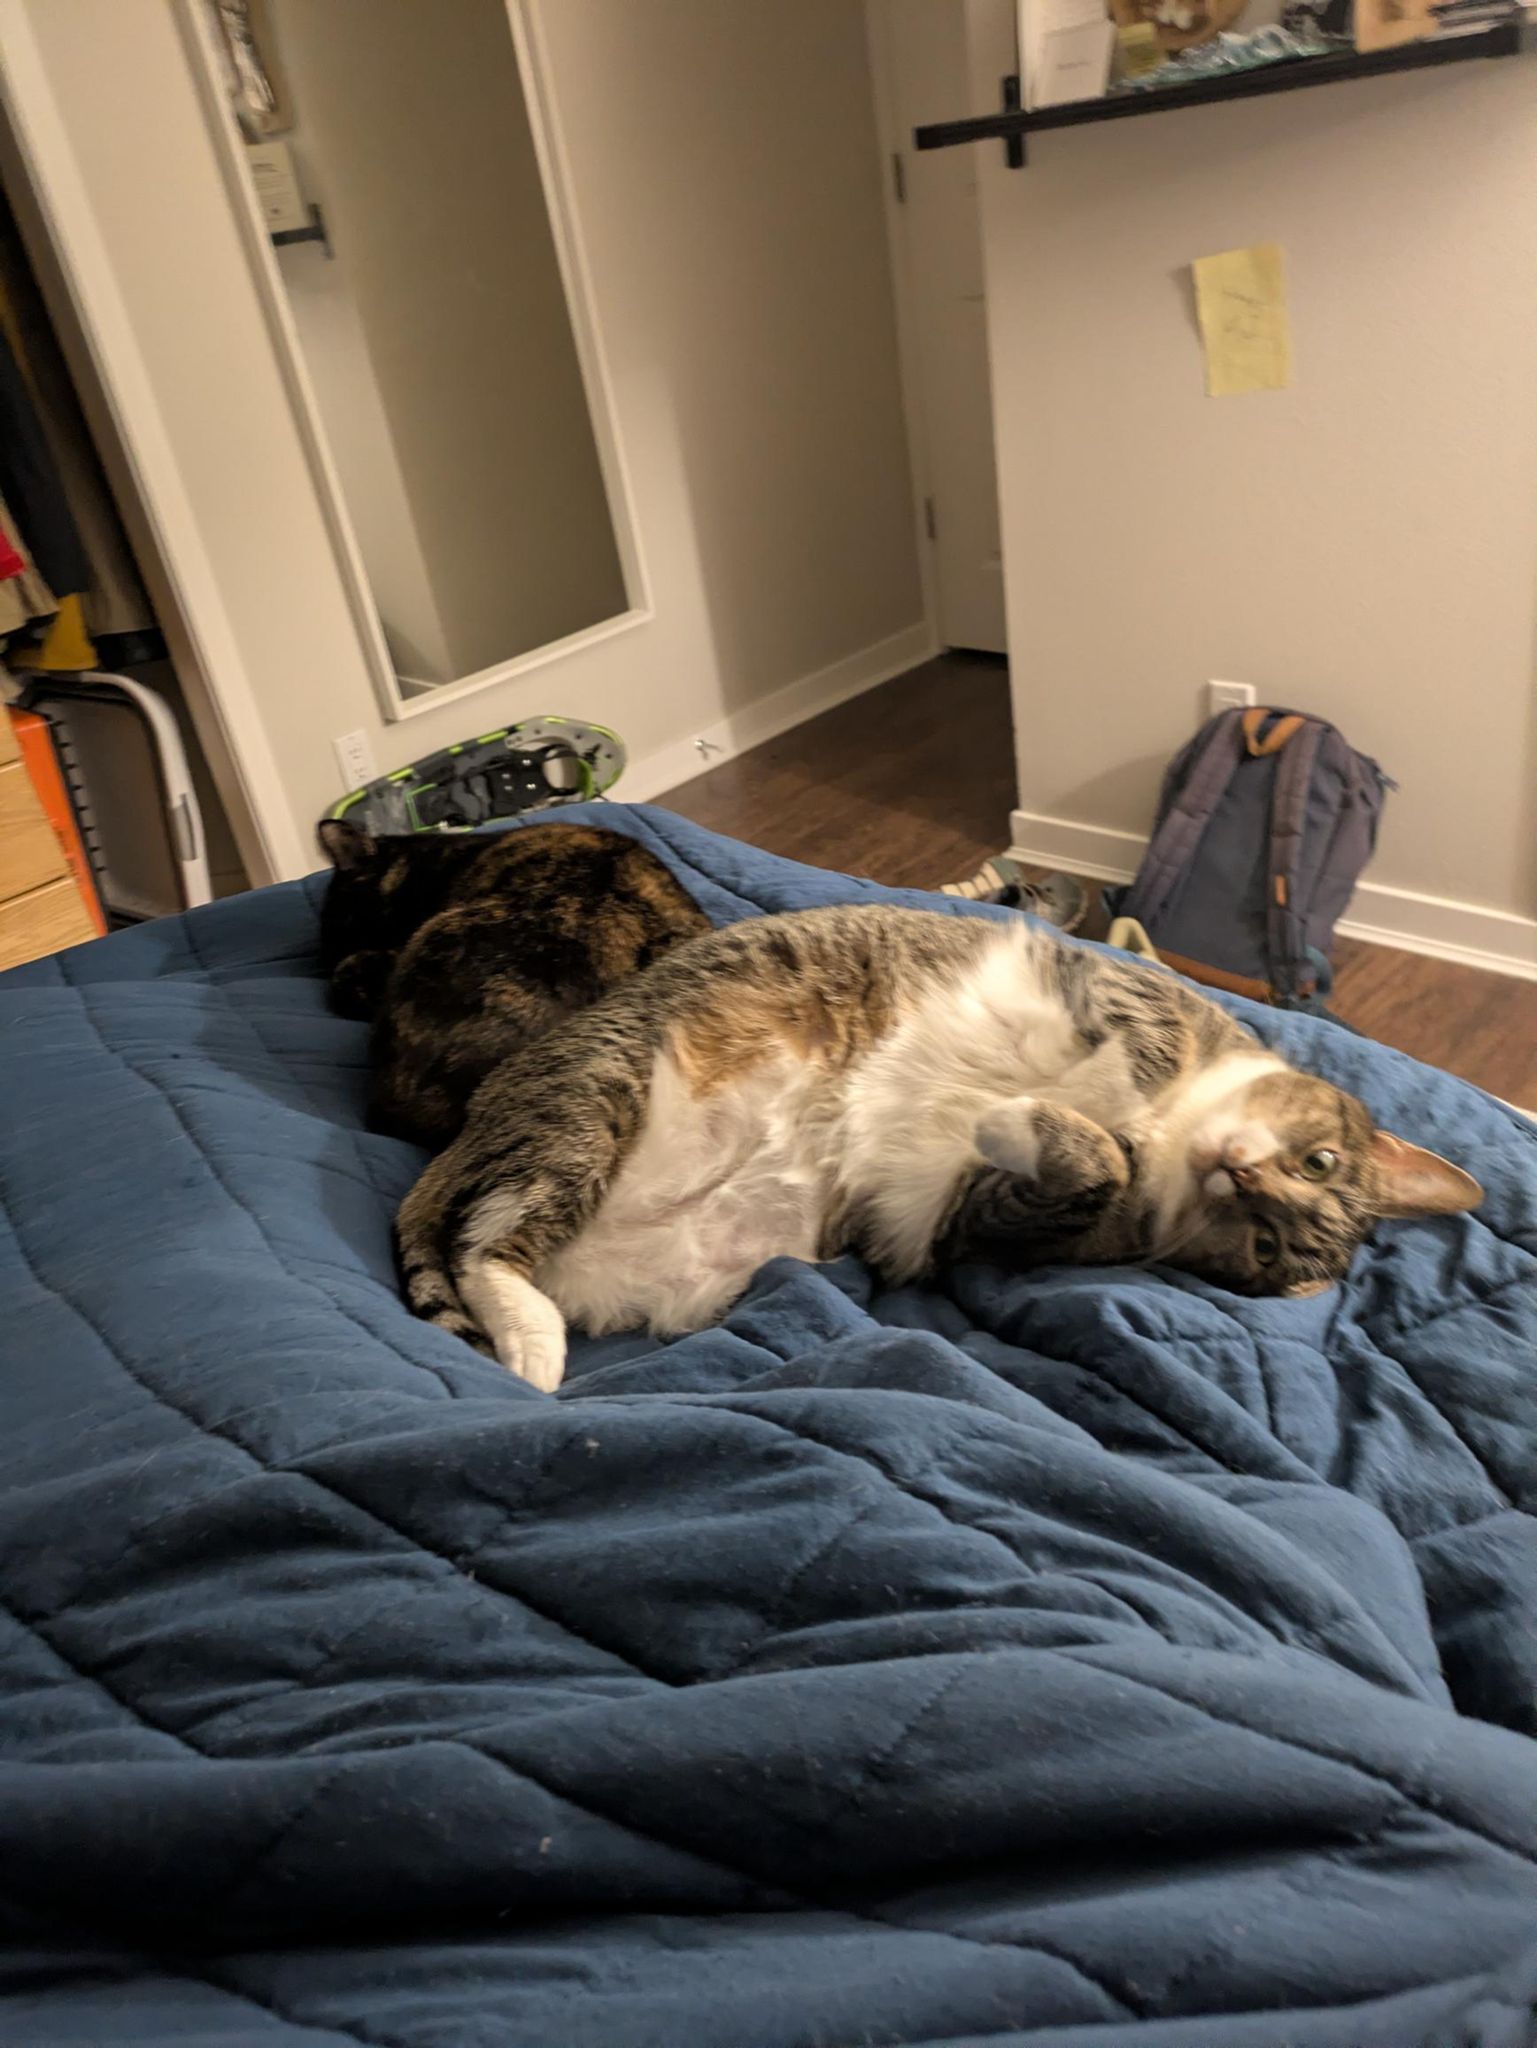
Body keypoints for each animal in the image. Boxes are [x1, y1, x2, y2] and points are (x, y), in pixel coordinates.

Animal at [394, 901, 1482, 1390]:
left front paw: (1029, 1124)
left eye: (1263, 1240)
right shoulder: (1127, 999)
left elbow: (1078, 1167)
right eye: (1318, 1161)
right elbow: (1119, 1069)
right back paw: (529, 1348)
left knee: (484, 1253)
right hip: (593, 1108)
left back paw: (533, 1352)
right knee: (477, 1240)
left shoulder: (988, 1221)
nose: (1237, 1171)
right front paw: (1101, 1111)